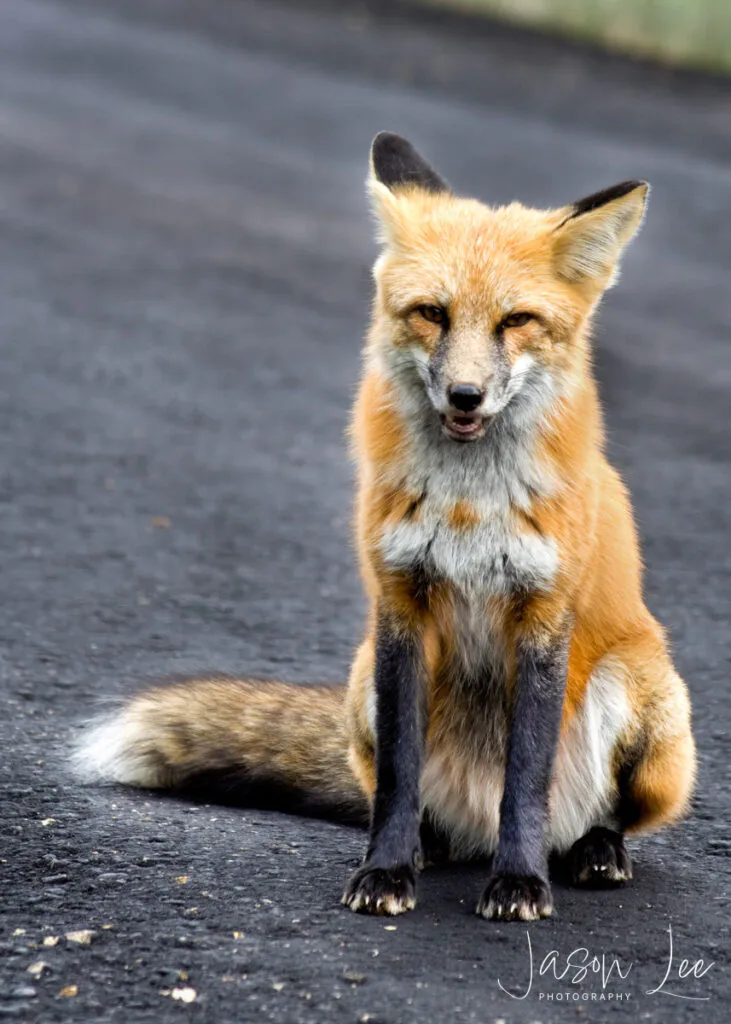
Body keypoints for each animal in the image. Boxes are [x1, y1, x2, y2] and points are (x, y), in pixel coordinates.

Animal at [74, 133, 695, 921]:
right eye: (432, 312)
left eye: (516, 321)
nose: (465, 394)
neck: (466, 505)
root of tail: (469, 825)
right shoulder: (400, 604)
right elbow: (399, 778)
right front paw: (386, 870)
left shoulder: (543, 614)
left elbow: (526, 778)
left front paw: (518, 883)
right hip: (362, 680)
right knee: (404, 799)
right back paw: (431, 845)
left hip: (642, 697)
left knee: (596, 814)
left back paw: (593, 851)